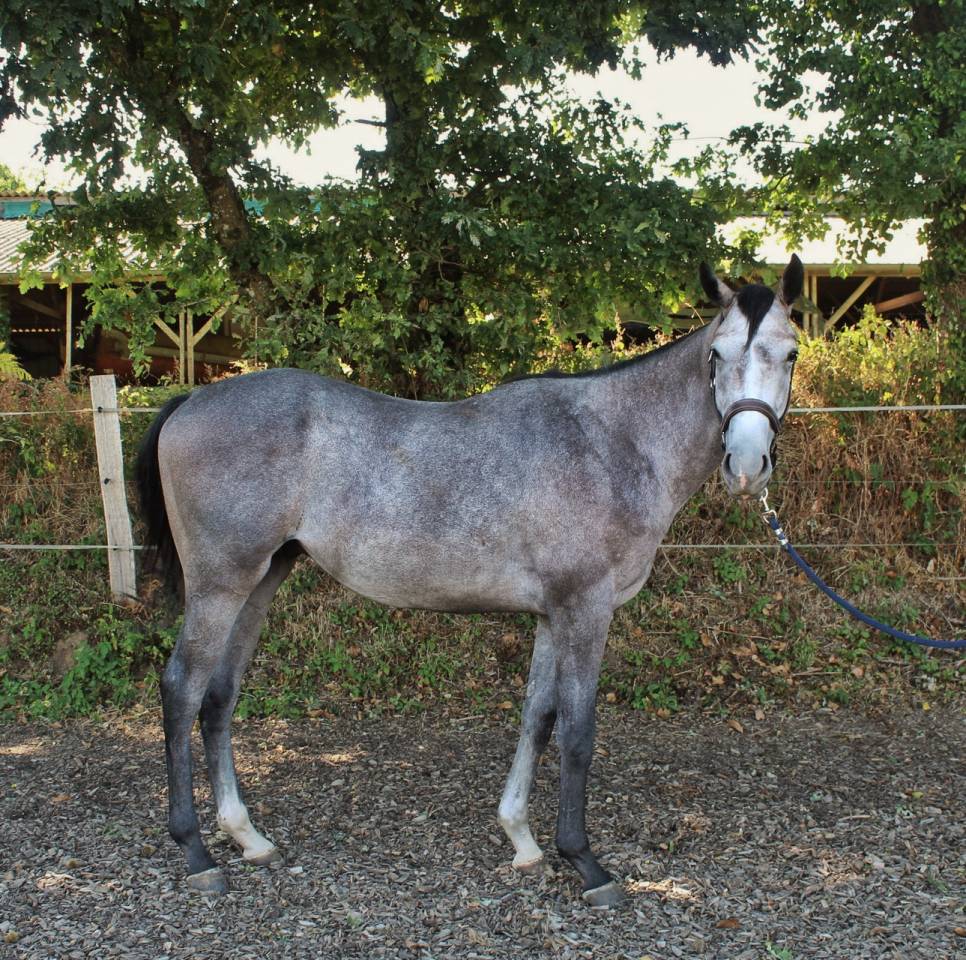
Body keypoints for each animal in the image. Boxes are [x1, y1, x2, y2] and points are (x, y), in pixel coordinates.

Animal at [136, 256, 804, 904]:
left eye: (791, 352)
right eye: (716, 355)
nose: (746, 466)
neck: (612, 441)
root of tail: (191, 400)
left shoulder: (551, 614)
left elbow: (538, 718)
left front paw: (522, 839)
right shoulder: (585, 608)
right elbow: (577, 733)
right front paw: (585, 862)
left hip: (260, 581)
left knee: (219, 696)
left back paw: (248, 837)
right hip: (220, 586)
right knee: (182, 690)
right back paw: (196, 854)